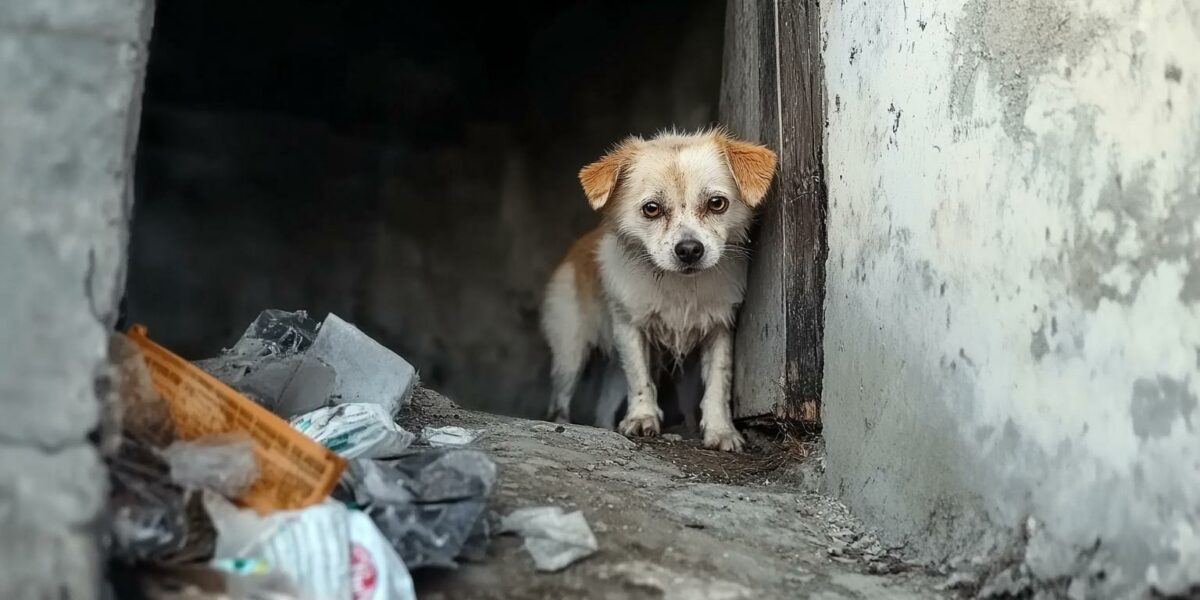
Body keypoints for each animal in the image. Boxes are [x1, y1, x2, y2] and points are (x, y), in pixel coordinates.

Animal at [542, 129, 777, 451]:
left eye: (717, 203)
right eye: (651, 209)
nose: (689, 250)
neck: (680, 284)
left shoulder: (719, 329)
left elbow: (718, 383)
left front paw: (720, 430)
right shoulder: (630, 328)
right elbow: (640, 379)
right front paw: (642, 419)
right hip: (570, 354)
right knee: (560, 402)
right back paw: (565, 424)